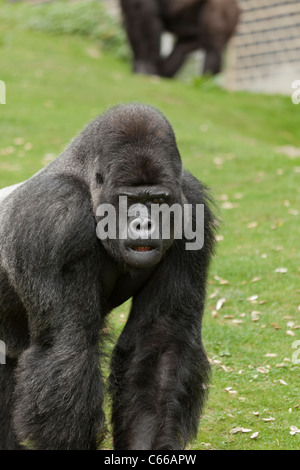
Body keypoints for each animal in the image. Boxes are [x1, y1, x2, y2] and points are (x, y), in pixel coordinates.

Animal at [0, 103, 216, 452]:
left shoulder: (192, 209)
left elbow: (159, 343)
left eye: (157, 201)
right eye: (129, 201)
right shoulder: (56, 217)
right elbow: (67, 349)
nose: (144, 224)